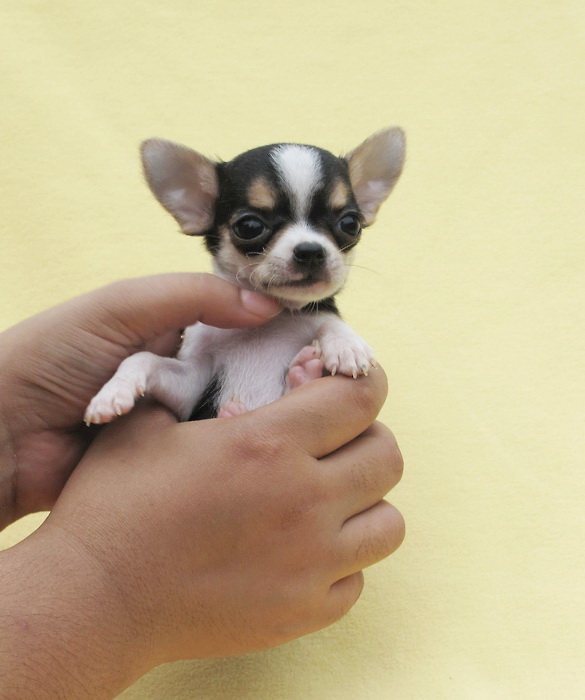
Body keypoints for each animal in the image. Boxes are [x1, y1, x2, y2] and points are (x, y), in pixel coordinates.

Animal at [84, 127, 405, 424]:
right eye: (249, 227)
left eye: (351, 224)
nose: (311, 250)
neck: (272, 319)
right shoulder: (191, 386)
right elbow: (143, 358)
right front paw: (111, 392)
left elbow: (330, 322)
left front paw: (347, 344)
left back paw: (303, 375)